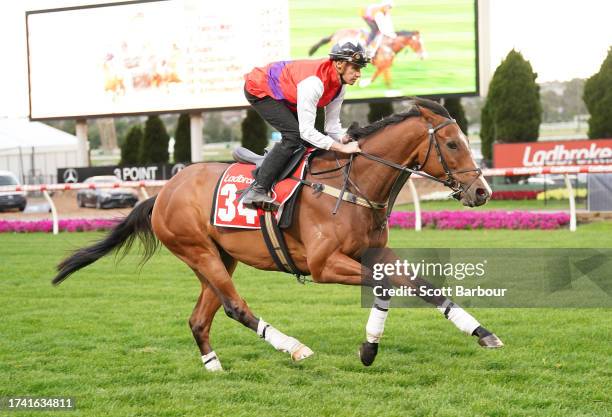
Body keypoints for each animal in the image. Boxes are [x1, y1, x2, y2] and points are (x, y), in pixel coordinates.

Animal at [52, 98, 502, 370]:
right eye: (452, 144)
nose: (482, 191)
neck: (353, 185)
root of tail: (164, 192)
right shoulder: (324, 265)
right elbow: (385, 287)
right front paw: (369, 348)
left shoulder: (375, 253)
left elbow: (424, 286)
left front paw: (483, 333)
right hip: (198, 251)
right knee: (234, 307)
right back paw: (293, 347)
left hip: (219, 257)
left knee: (200, 318)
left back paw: (213, 365)